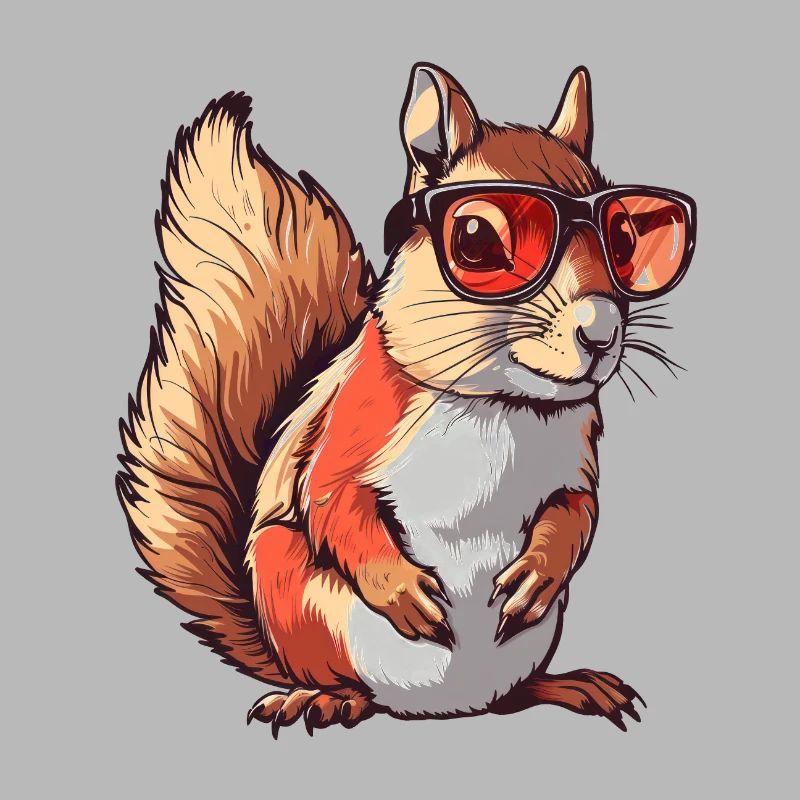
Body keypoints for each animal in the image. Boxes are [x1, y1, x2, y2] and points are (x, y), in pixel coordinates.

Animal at [118, 63, 695, 736]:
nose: (601, 332)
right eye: (476, 237)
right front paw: (402, 590)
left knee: (515, 693)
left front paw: (539, 571)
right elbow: (333, 501)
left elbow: (579, 508)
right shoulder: (354, 426)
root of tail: (448, 708)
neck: (500, 403)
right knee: (346, 677)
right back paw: (324, 698)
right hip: (302, 601)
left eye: (625, 239)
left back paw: (568, 685)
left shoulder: (575, 455)